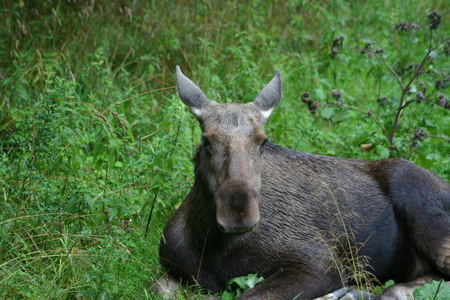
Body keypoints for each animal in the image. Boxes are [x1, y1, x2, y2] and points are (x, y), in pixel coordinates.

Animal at [159, 67, 450, 298]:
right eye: (206, 140)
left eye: (263, 142)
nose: (238, 213)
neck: (208, 245)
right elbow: (159, 287)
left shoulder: (321, 263)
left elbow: (250, 296)